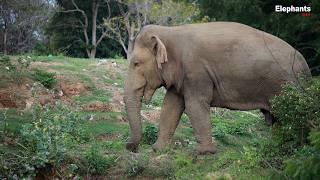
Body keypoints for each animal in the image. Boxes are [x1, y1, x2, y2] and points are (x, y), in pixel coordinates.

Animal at [124, 21, 312, 154]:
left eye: (136, 63)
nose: (129, 147)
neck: (170, 31)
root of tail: (306, 66)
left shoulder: (196, 72)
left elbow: (194, 106)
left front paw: (203, 152)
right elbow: (171, 106)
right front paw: (158, 149)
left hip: (288, 85)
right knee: (278, 120)